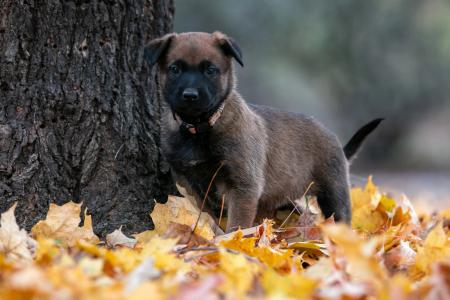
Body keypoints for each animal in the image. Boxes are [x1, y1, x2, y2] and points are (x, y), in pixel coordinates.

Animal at [145, 32, 384, 232]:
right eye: (175, 69)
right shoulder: (188, 183)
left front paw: (233, 243)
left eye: (210, 70)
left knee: (340, 215)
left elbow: (236, 225)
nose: (190, 95)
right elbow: (205, 215)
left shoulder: (243, 188)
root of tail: (336, 141)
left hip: (334, 191)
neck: (200, 127)